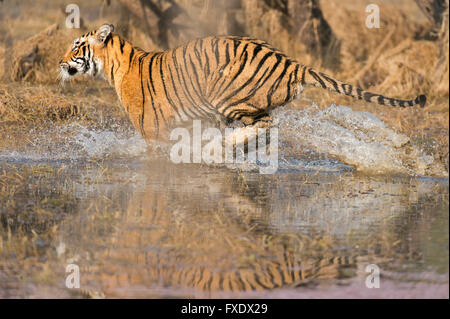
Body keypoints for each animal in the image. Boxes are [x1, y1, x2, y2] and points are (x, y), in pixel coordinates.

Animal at [59, 23, 426, 141]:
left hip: (228, 98)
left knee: (266, 125)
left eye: (77, 46)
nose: (61, 63)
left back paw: (230, 145)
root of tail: (290, 62)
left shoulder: (152, 130)